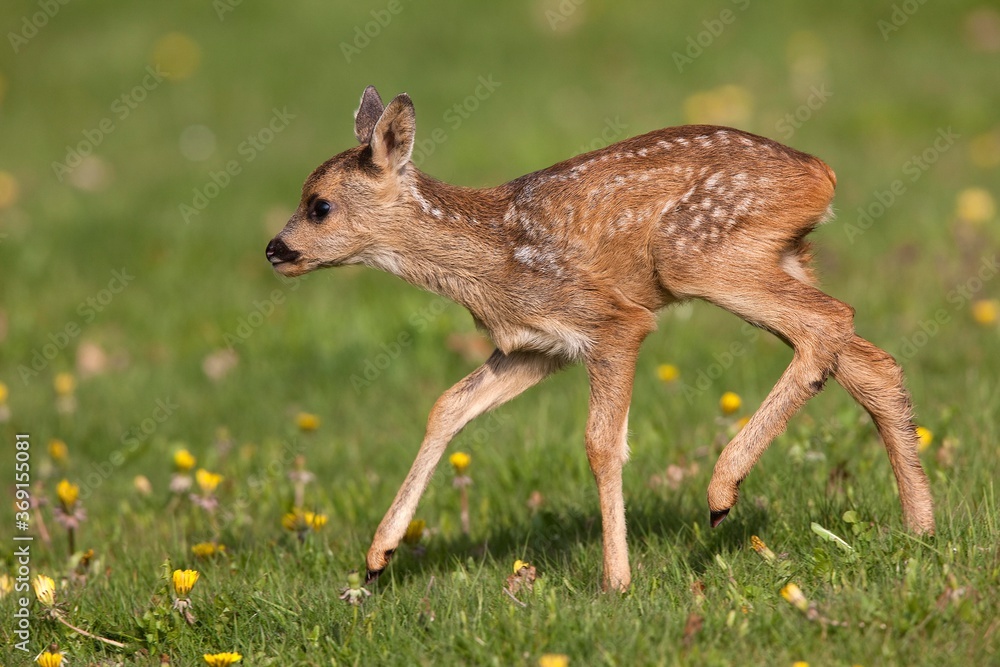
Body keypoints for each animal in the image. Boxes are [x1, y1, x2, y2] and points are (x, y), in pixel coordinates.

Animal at [268, 86, 936, 592]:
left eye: (319, 205)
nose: (274, 249)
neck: (492, 258)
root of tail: (822, 172)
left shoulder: (612, 321)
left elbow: (600, 443)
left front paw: (616, 581)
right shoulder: (534, 348)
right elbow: (447, 405)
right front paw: (377, 557)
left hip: (696, 254)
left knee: (829, 320)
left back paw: (722, 491)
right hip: (779, 255)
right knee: (866, 356)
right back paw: (921, 529)